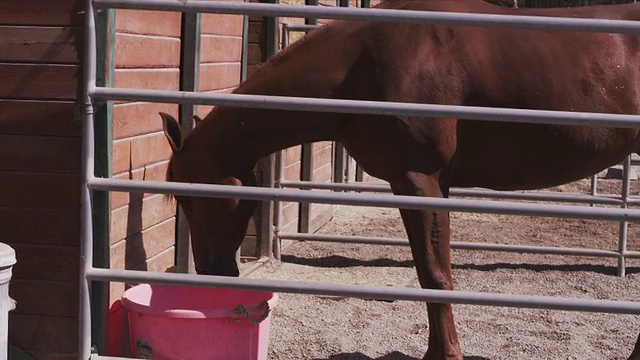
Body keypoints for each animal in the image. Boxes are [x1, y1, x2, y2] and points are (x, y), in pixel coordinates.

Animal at [162, 0, 640, 358]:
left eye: (192, 197)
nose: (212, 271)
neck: (363, 64)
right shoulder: (422, 184)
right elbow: (430, 275)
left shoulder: (418, 179)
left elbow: (435, 276)